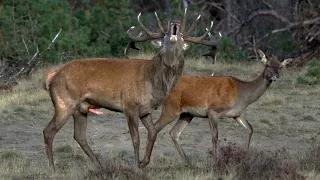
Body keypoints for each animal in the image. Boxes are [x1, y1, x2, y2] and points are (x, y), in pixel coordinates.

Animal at [42, 9, 220, 170]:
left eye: (182, 36)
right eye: (164, 36)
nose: (174, 24)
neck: (152, 83)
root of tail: (51, 77)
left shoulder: (145, 110)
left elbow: (153, 132)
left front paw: (143, 163)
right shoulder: (130, 106)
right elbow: (135, 139)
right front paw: (136, 166)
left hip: (81, 108)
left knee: (79, 136)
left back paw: (100, 165)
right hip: (64, 102)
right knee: (48, 131)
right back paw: (52, 167)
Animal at [147, 50, 288, 162]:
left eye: (280, 66)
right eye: (268, 65)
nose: (276, 76)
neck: (242, 95)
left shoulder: (237, 114)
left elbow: (250, 129)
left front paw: (245, 154)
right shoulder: (213, 111)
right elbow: (215, 136)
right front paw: (216, 160)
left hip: (187, 114)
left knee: (174, 132)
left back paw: (187, 161)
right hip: (171, 108)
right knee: (155, 128)